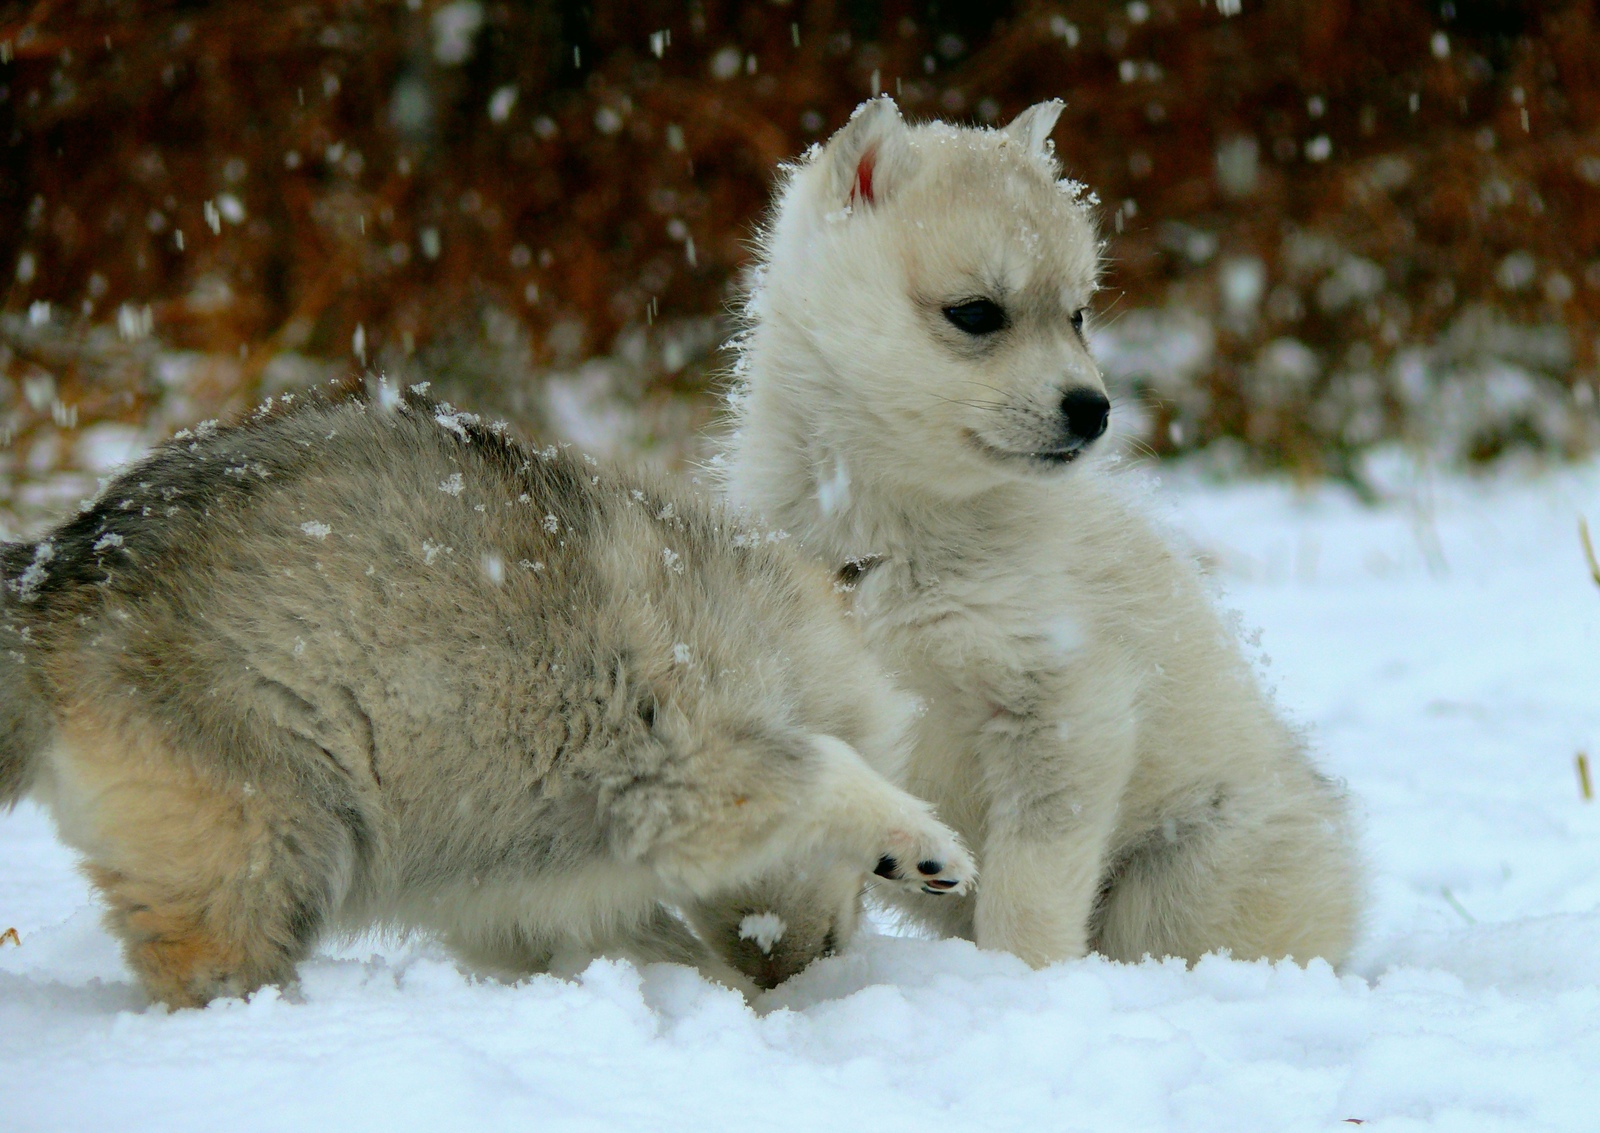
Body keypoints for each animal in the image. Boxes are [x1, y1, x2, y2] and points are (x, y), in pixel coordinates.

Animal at [3, 392, 972, 1011]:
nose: (801, 977)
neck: (754, 644)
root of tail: (56, 570)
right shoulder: (681, 777)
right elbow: (830, 770)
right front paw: (923, 842)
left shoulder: (517, 892)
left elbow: (643, 943)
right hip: (275, 836)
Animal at [726, 99, 1363, 966]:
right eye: (976, 314)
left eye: (1078, 315)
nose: (1093, 410)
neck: (901, 526)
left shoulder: (1065, 704)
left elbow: (1029, 884)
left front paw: (1018, 980)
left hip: (1180, 883)